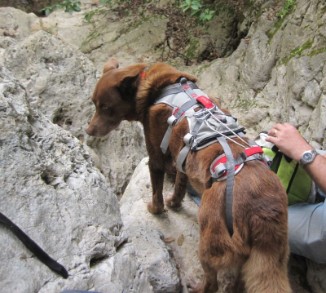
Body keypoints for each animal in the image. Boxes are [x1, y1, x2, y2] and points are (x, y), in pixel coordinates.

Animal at [86, 58, 290, 290]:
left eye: (106, 108)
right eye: (94, 104)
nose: (88, 131)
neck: (153, 87)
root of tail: (261, 212)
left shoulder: (156, 156)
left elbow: (156, 191)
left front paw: (156, 209)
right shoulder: (181, 157)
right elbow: (180, 184)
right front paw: (175, 203)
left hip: (209, 244)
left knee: (212, 284)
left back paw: (198, 287)